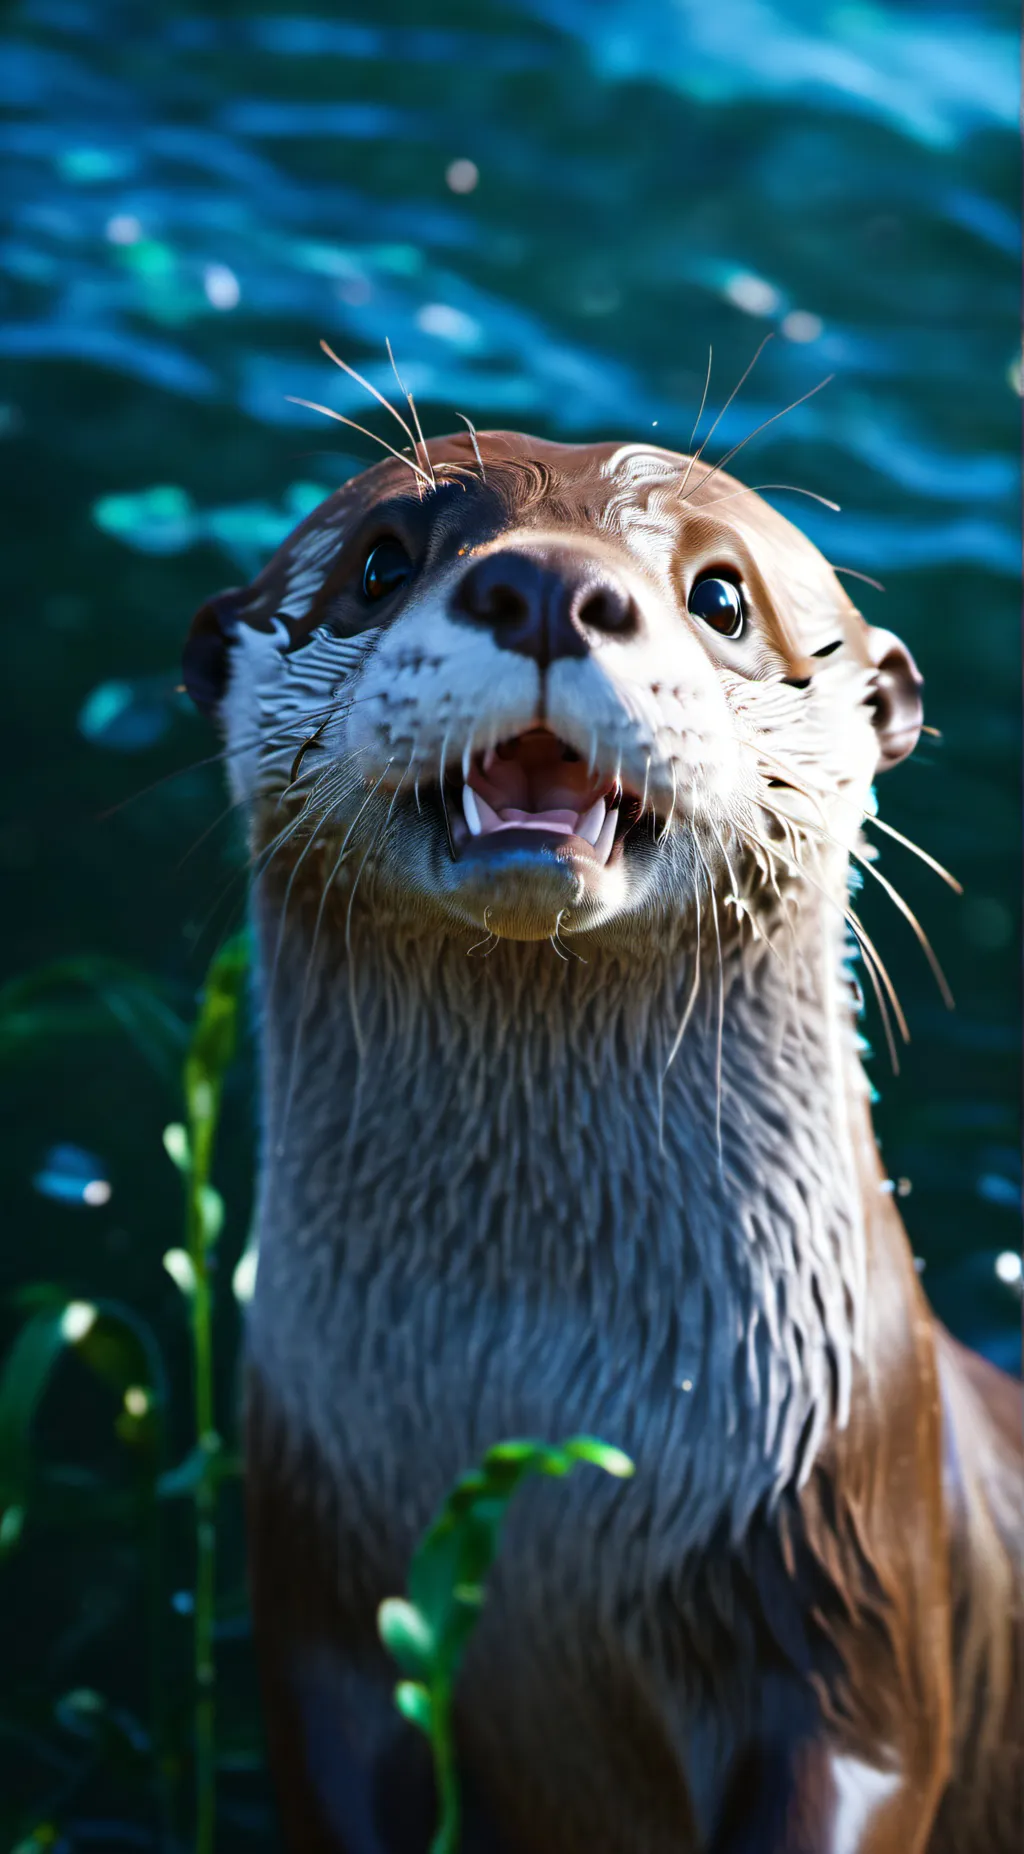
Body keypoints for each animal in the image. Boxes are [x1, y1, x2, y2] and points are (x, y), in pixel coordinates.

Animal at [184, 429, 1021, 1854]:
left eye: (723, 596)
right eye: (379, 563)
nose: (542, 587)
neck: (534, 1377)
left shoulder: (849, 1579)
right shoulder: (315, 1587)